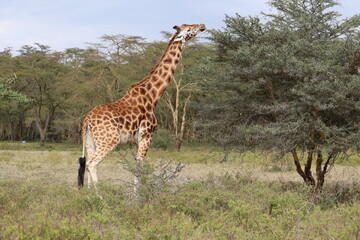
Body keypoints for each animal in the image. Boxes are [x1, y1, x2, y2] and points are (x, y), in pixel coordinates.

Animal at [78, 23, 205, 191]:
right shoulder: (146, 135)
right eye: (189, 29)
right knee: (92, 163)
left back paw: (89, 193)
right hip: (109, 140)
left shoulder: (136, 139)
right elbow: (139, 165)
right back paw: (99, 195)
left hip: (90, 141)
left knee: (87, 162)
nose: (203, 26)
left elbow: (135, 166)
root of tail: (87, 121)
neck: (152, 96)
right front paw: (137, 194)